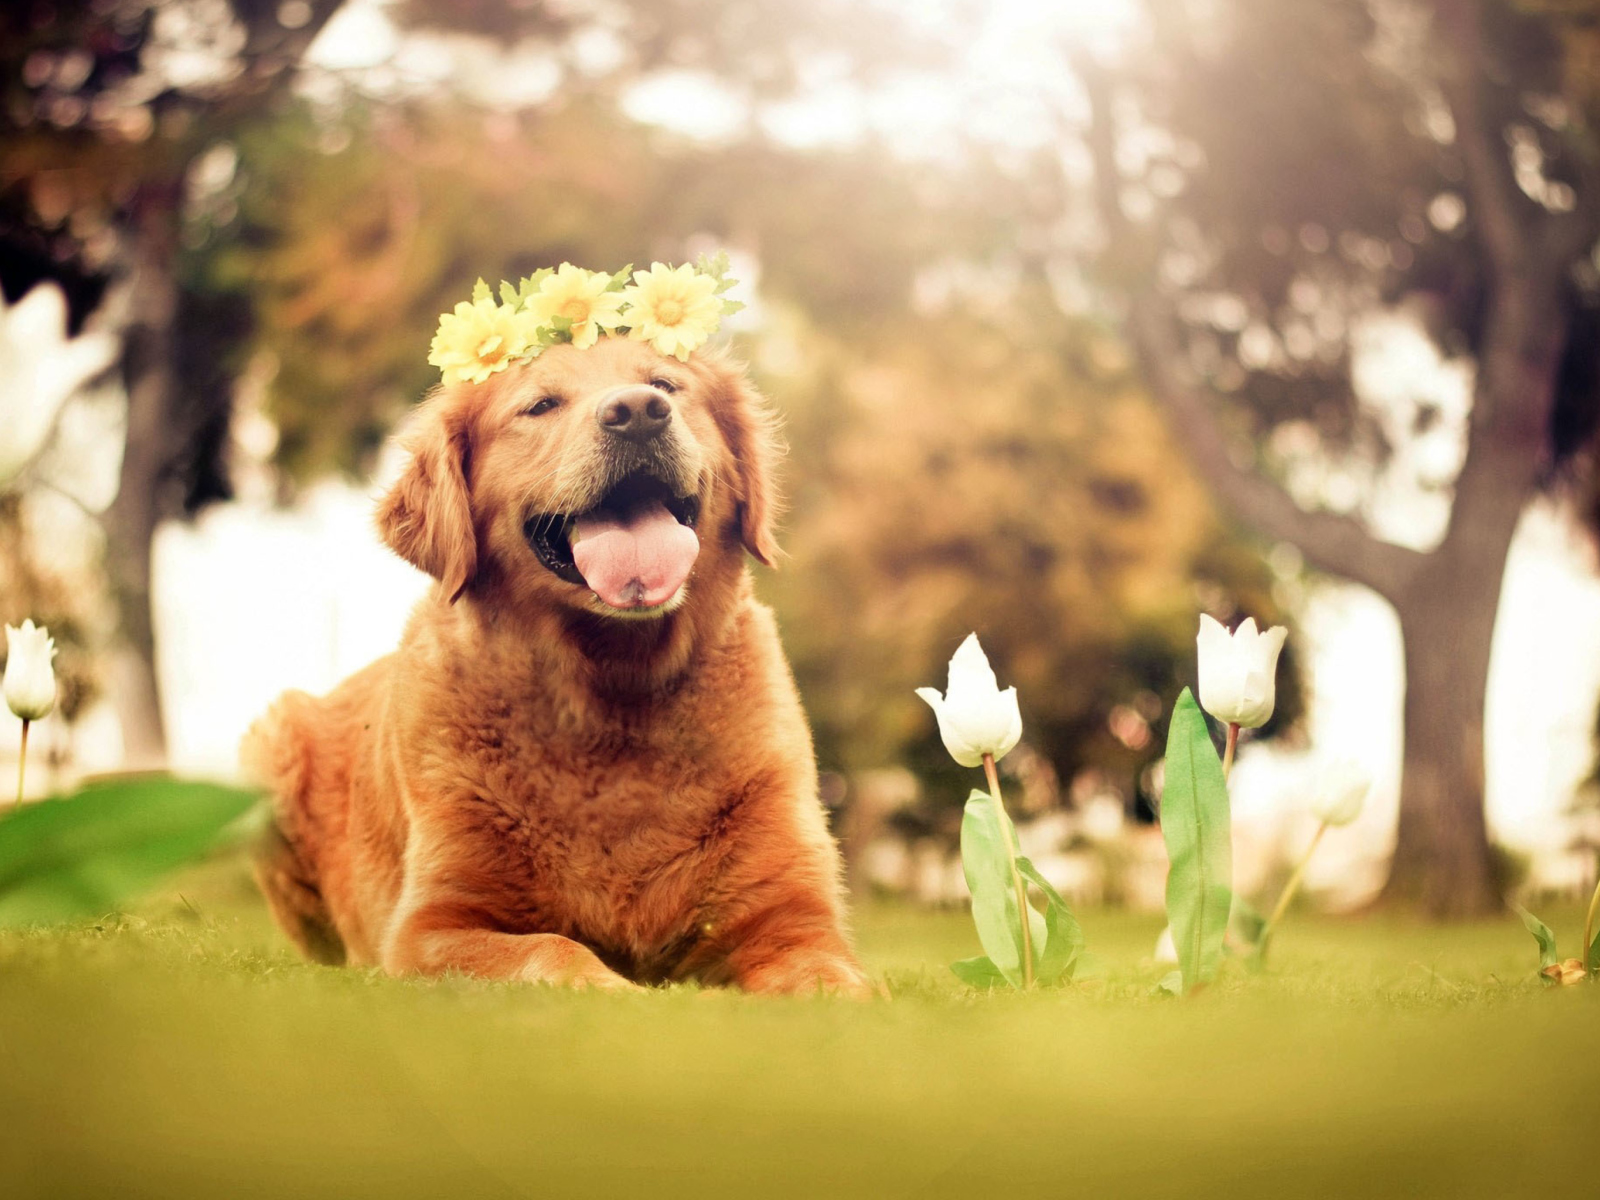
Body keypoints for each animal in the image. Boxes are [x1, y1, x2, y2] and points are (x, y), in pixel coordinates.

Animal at [243, 336, 870, 998]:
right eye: (541, 404)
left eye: (665, 385)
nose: (638, 413)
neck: (611, 692)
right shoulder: (430, 928)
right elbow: (550, 949)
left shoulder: (793, 918)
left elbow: (828, 975)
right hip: (272, 742)